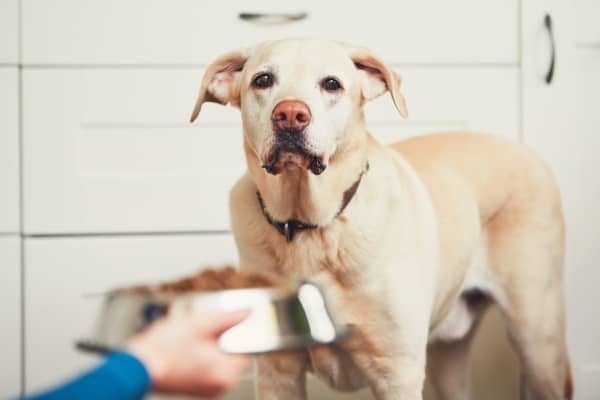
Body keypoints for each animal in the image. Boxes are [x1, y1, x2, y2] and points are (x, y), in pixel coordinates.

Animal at [190, 38, 568, 400]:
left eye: (332, 84)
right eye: (263, 80)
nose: (290, 114)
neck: (314, 226)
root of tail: (526, 150)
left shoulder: (397, 374)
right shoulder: (277, 373)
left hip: (538, 338)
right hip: (450, 358)